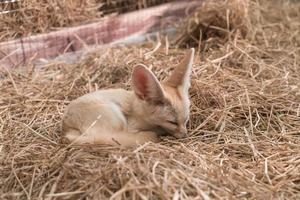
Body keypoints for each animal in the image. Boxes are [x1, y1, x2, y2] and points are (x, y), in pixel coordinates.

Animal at [62, 47, 196, 146]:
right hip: (115, 118)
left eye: (186, 120)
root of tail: (65, 127)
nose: (185, 135)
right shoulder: (131, 127)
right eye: (172, 122)